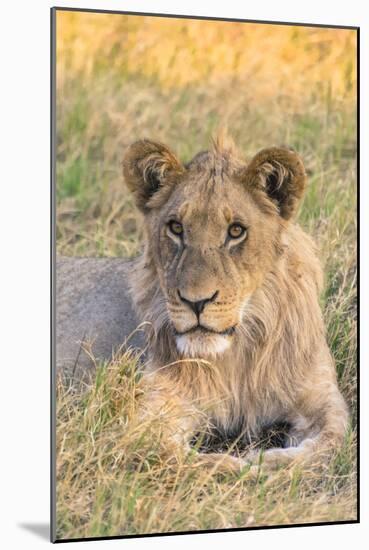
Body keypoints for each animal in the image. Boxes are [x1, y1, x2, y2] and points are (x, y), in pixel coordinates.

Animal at [121, 133, 348, 470]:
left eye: (236, 231)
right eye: (176, 228)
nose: (196, 302)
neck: (237, 356)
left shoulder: (323, 397)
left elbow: (328, 443)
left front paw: (268, 464)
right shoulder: (155, 407)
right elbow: (187, 459)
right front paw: (245, 468)